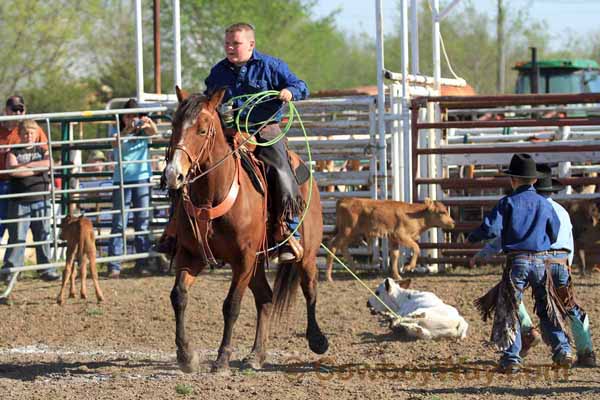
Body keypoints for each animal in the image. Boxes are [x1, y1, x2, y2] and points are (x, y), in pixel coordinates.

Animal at [165, 86, 328, 372]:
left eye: (203, 130)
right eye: (174, 125)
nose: (174, 174)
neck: (213, 195)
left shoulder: (243, 259)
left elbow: (231, 305)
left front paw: (221, 359)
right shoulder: (191, 255)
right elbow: (179, 296)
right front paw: (186, 356)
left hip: (305, 254)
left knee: (309, 288)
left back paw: (317, 340)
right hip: (256, 264)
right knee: (265, 297)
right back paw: (256, 355)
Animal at [326, 198, 458, 282]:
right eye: (442, 212)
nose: (453, 223)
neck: (416, 215)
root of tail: (344, 200)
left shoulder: (394, 239)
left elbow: (394, 255)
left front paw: (396, 276)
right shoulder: (401, 235)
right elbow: (416, 247)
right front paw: (408, 267)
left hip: (353, 233)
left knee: (343, 247)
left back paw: (354, 270)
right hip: (347, 231)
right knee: (333, 245)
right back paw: (329, 277)